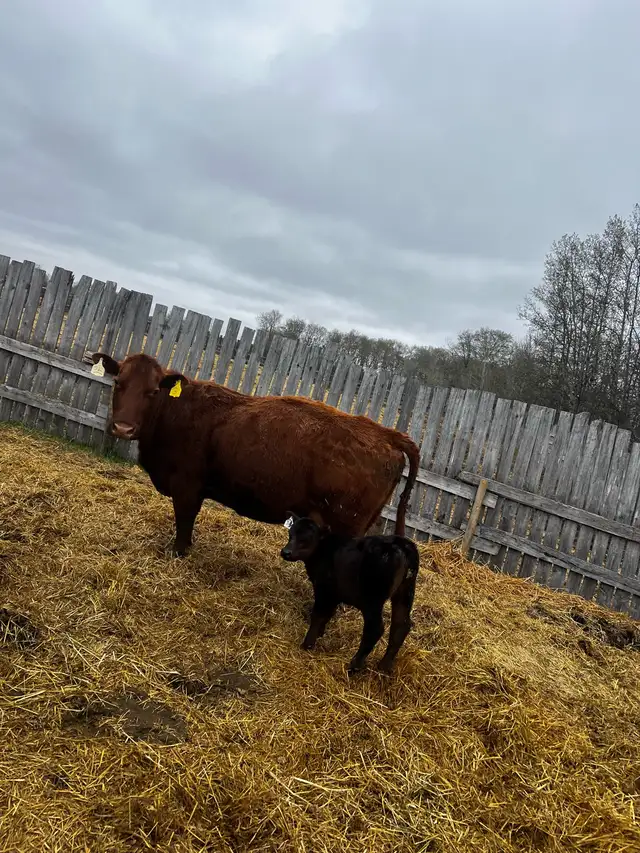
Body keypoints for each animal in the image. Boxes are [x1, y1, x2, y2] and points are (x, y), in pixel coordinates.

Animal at [89, 351, 420, 557]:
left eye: (153, 391)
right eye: (118, 383)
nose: (123, 428)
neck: (177, 410)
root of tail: (385, 433)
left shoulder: (186, 488)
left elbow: (184, 525)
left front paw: (178, 553)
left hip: (345, 526)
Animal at [280, 514, 420, 674]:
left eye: (305, 539)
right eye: (290, 535)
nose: (285, 552)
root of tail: (402, 545)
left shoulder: (324, 589)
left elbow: (318, 615)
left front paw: (308, 644)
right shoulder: (334, 595)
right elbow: (328, 614)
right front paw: (320, 633)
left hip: (373, 600)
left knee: (375, 629)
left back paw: (354, 666)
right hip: (404, 592)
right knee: (401, 624)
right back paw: (384, 667)